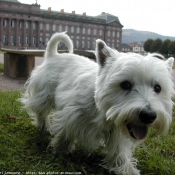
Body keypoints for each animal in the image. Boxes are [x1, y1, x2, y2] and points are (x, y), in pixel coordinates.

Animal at [20, 32, 174, 174]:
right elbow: (65, 134)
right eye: (125, 84)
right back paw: (43, 126)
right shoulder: (70, 115)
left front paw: (126, 169)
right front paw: (60, 151)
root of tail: (53, 55)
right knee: (41, 112)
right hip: (43, 95)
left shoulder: (117, 133)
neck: (103, 112)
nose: (148, 115)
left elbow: (119, 153)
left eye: (158, 88)